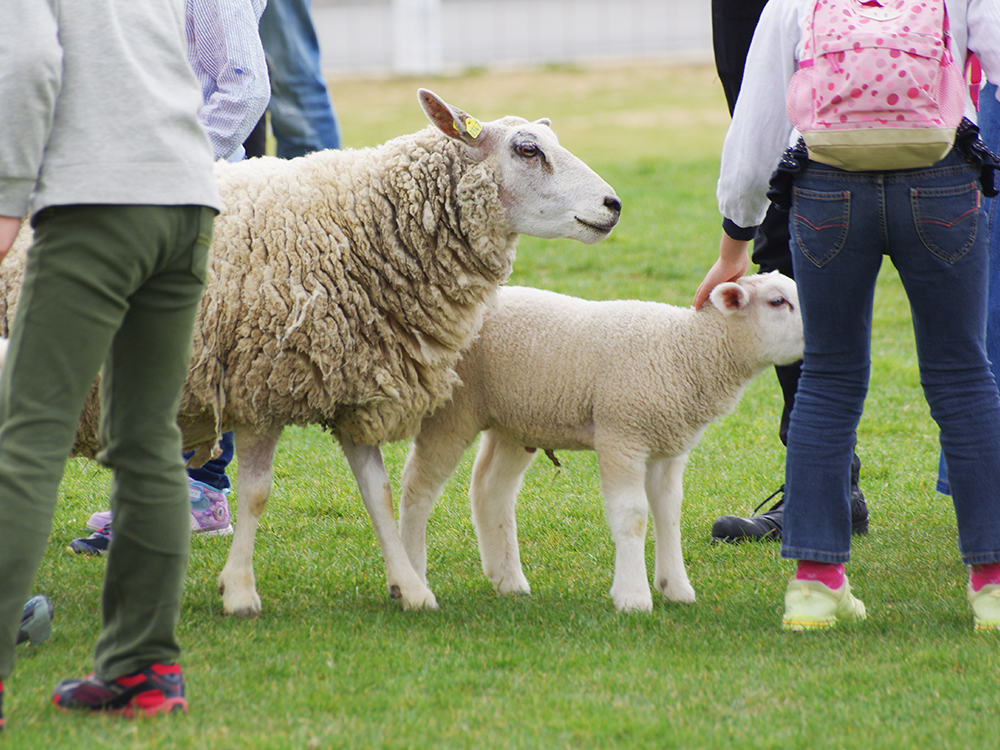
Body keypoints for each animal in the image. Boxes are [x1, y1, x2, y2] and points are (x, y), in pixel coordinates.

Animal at [0, 89, 620, 616]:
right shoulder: (259, 385)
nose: (613, 204)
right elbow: (255, 494)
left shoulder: (355, 382)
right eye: (527, 149)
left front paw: (410, 587)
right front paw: (240, 592)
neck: (359, 227)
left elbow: (379, 495)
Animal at [398, 274, 804, 612]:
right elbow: (633, 516)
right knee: (418, 489)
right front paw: (633, 596)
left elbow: (669, 512)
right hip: (453, 412)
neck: (684, 351)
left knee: (489, 489)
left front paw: (676, 588)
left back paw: (508, 580)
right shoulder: (621, 434)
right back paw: (413, 578)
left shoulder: (668, 445)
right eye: (777, 301)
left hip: (514, 420)